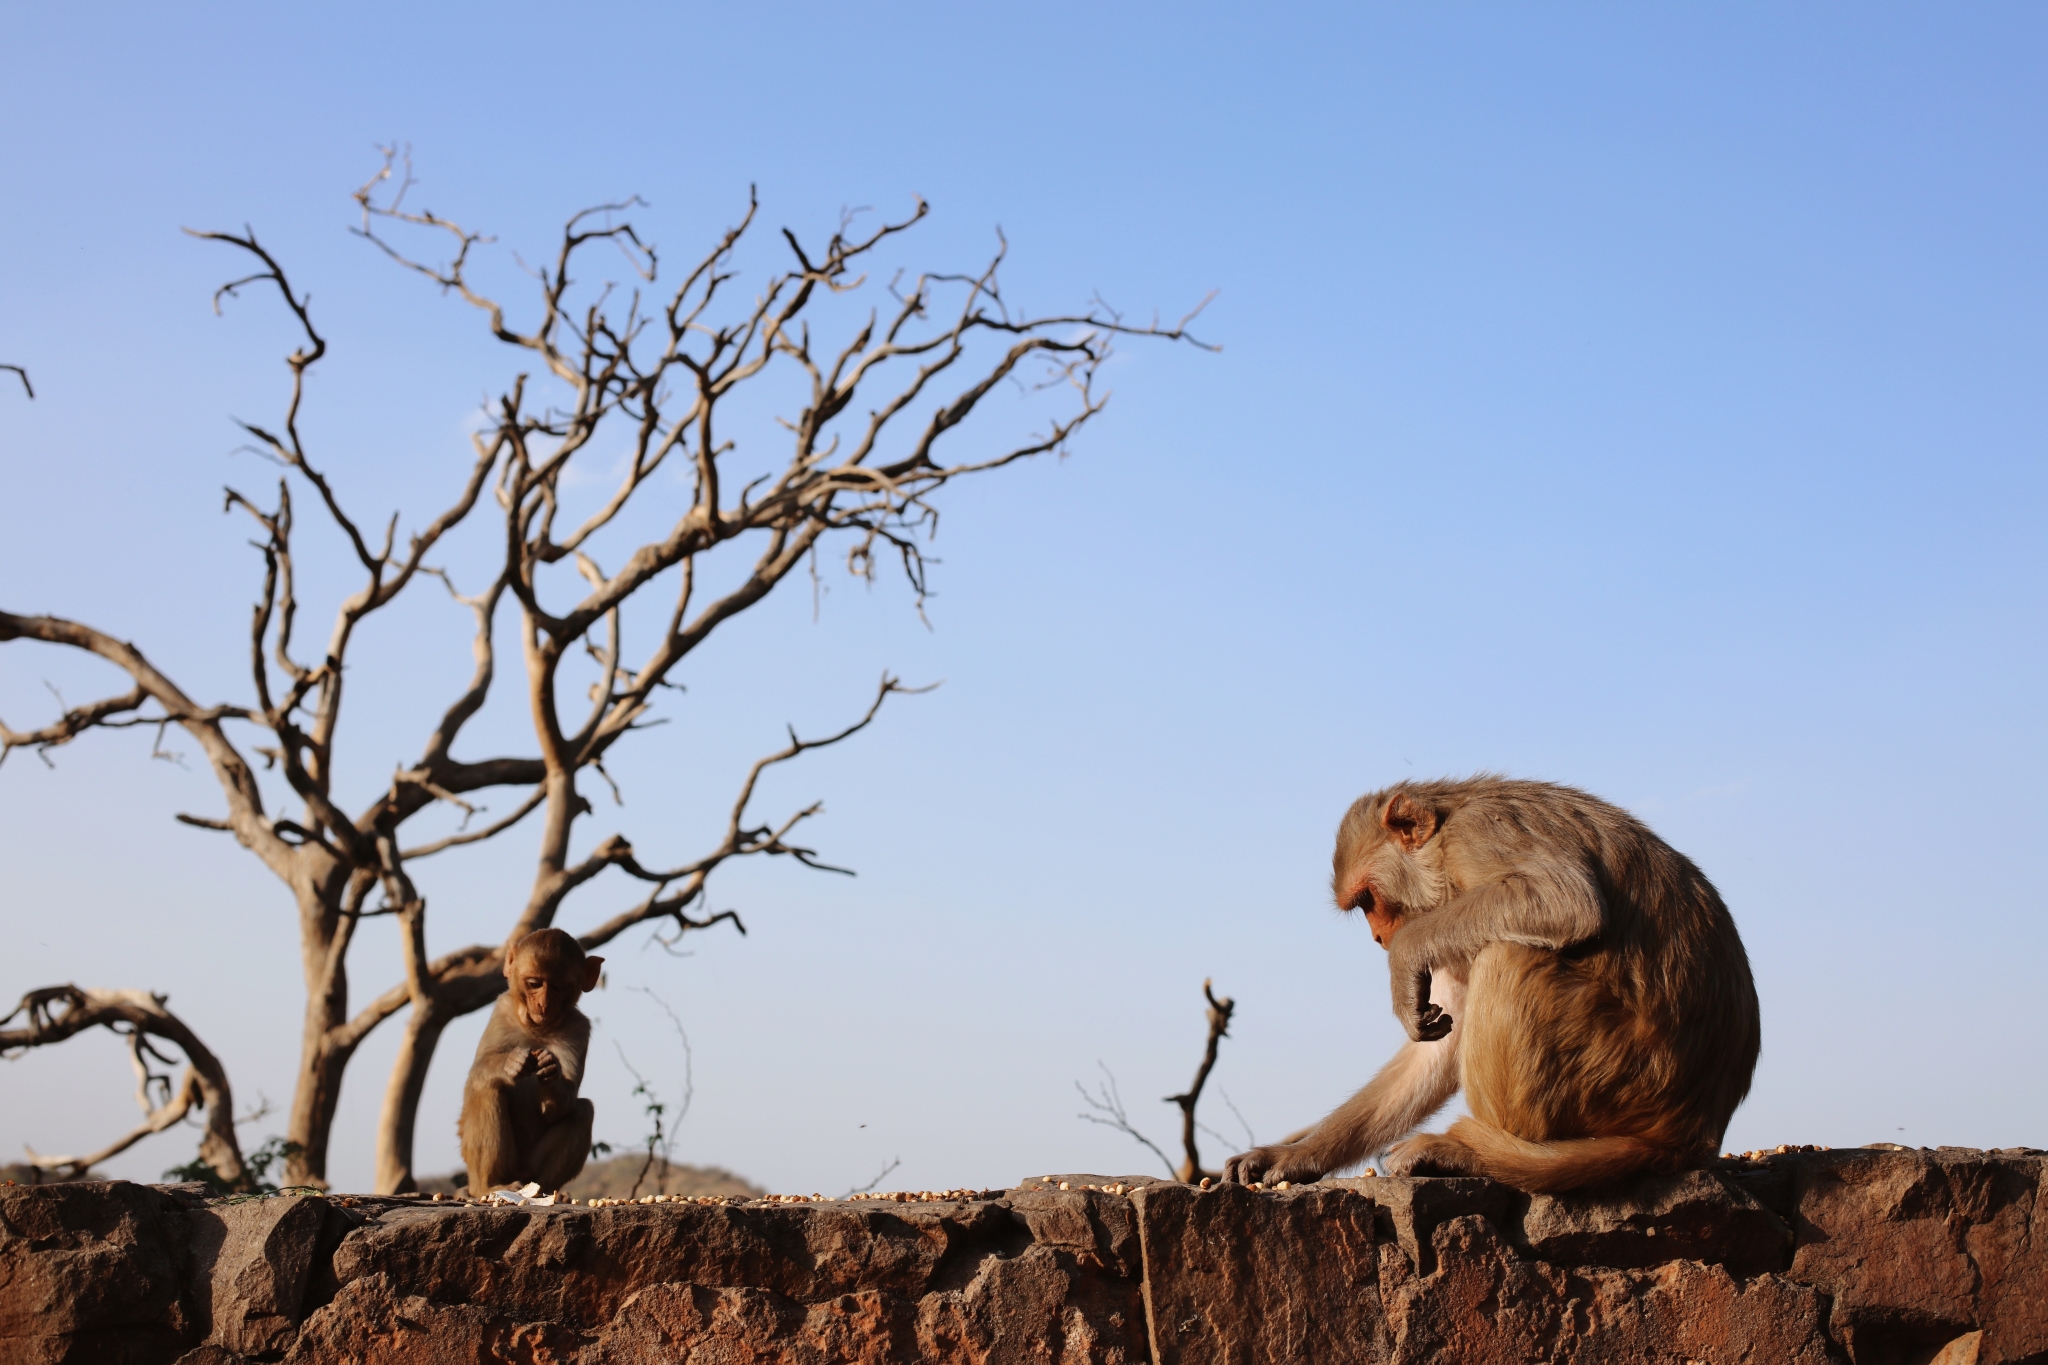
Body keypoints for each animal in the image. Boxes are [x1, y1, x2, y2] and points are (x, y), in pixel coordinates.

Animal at [456, 925, 598, 1203]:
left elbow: (563, 1105)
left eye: (559, 987)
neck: (537, 1029)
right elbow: (476, 1075)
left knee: (583, 1110)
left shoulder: (578, 1030)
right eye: (534, 984)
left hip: (531, 1167)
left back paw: (549, 1192)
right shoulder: (502, 1011)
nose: (543, 1004)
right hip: (506, 1165)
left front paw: (551, 1071)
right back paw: (488, 1187)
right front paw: (511, 1063)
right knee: (487, 1090)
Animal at [1220, 777, 1769, 1195]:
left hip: (1622, 1072)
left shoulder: (1480, 836)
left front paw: (1403, 955)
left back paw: (1473, 1151)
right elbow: (1438, 1045)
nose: (1379, 938)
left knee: (1511, 952)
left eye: (1369, 899)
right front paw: (1294, 1155)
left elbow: (1566, 900)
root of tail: (1689, 1131)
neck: (1445, 843)